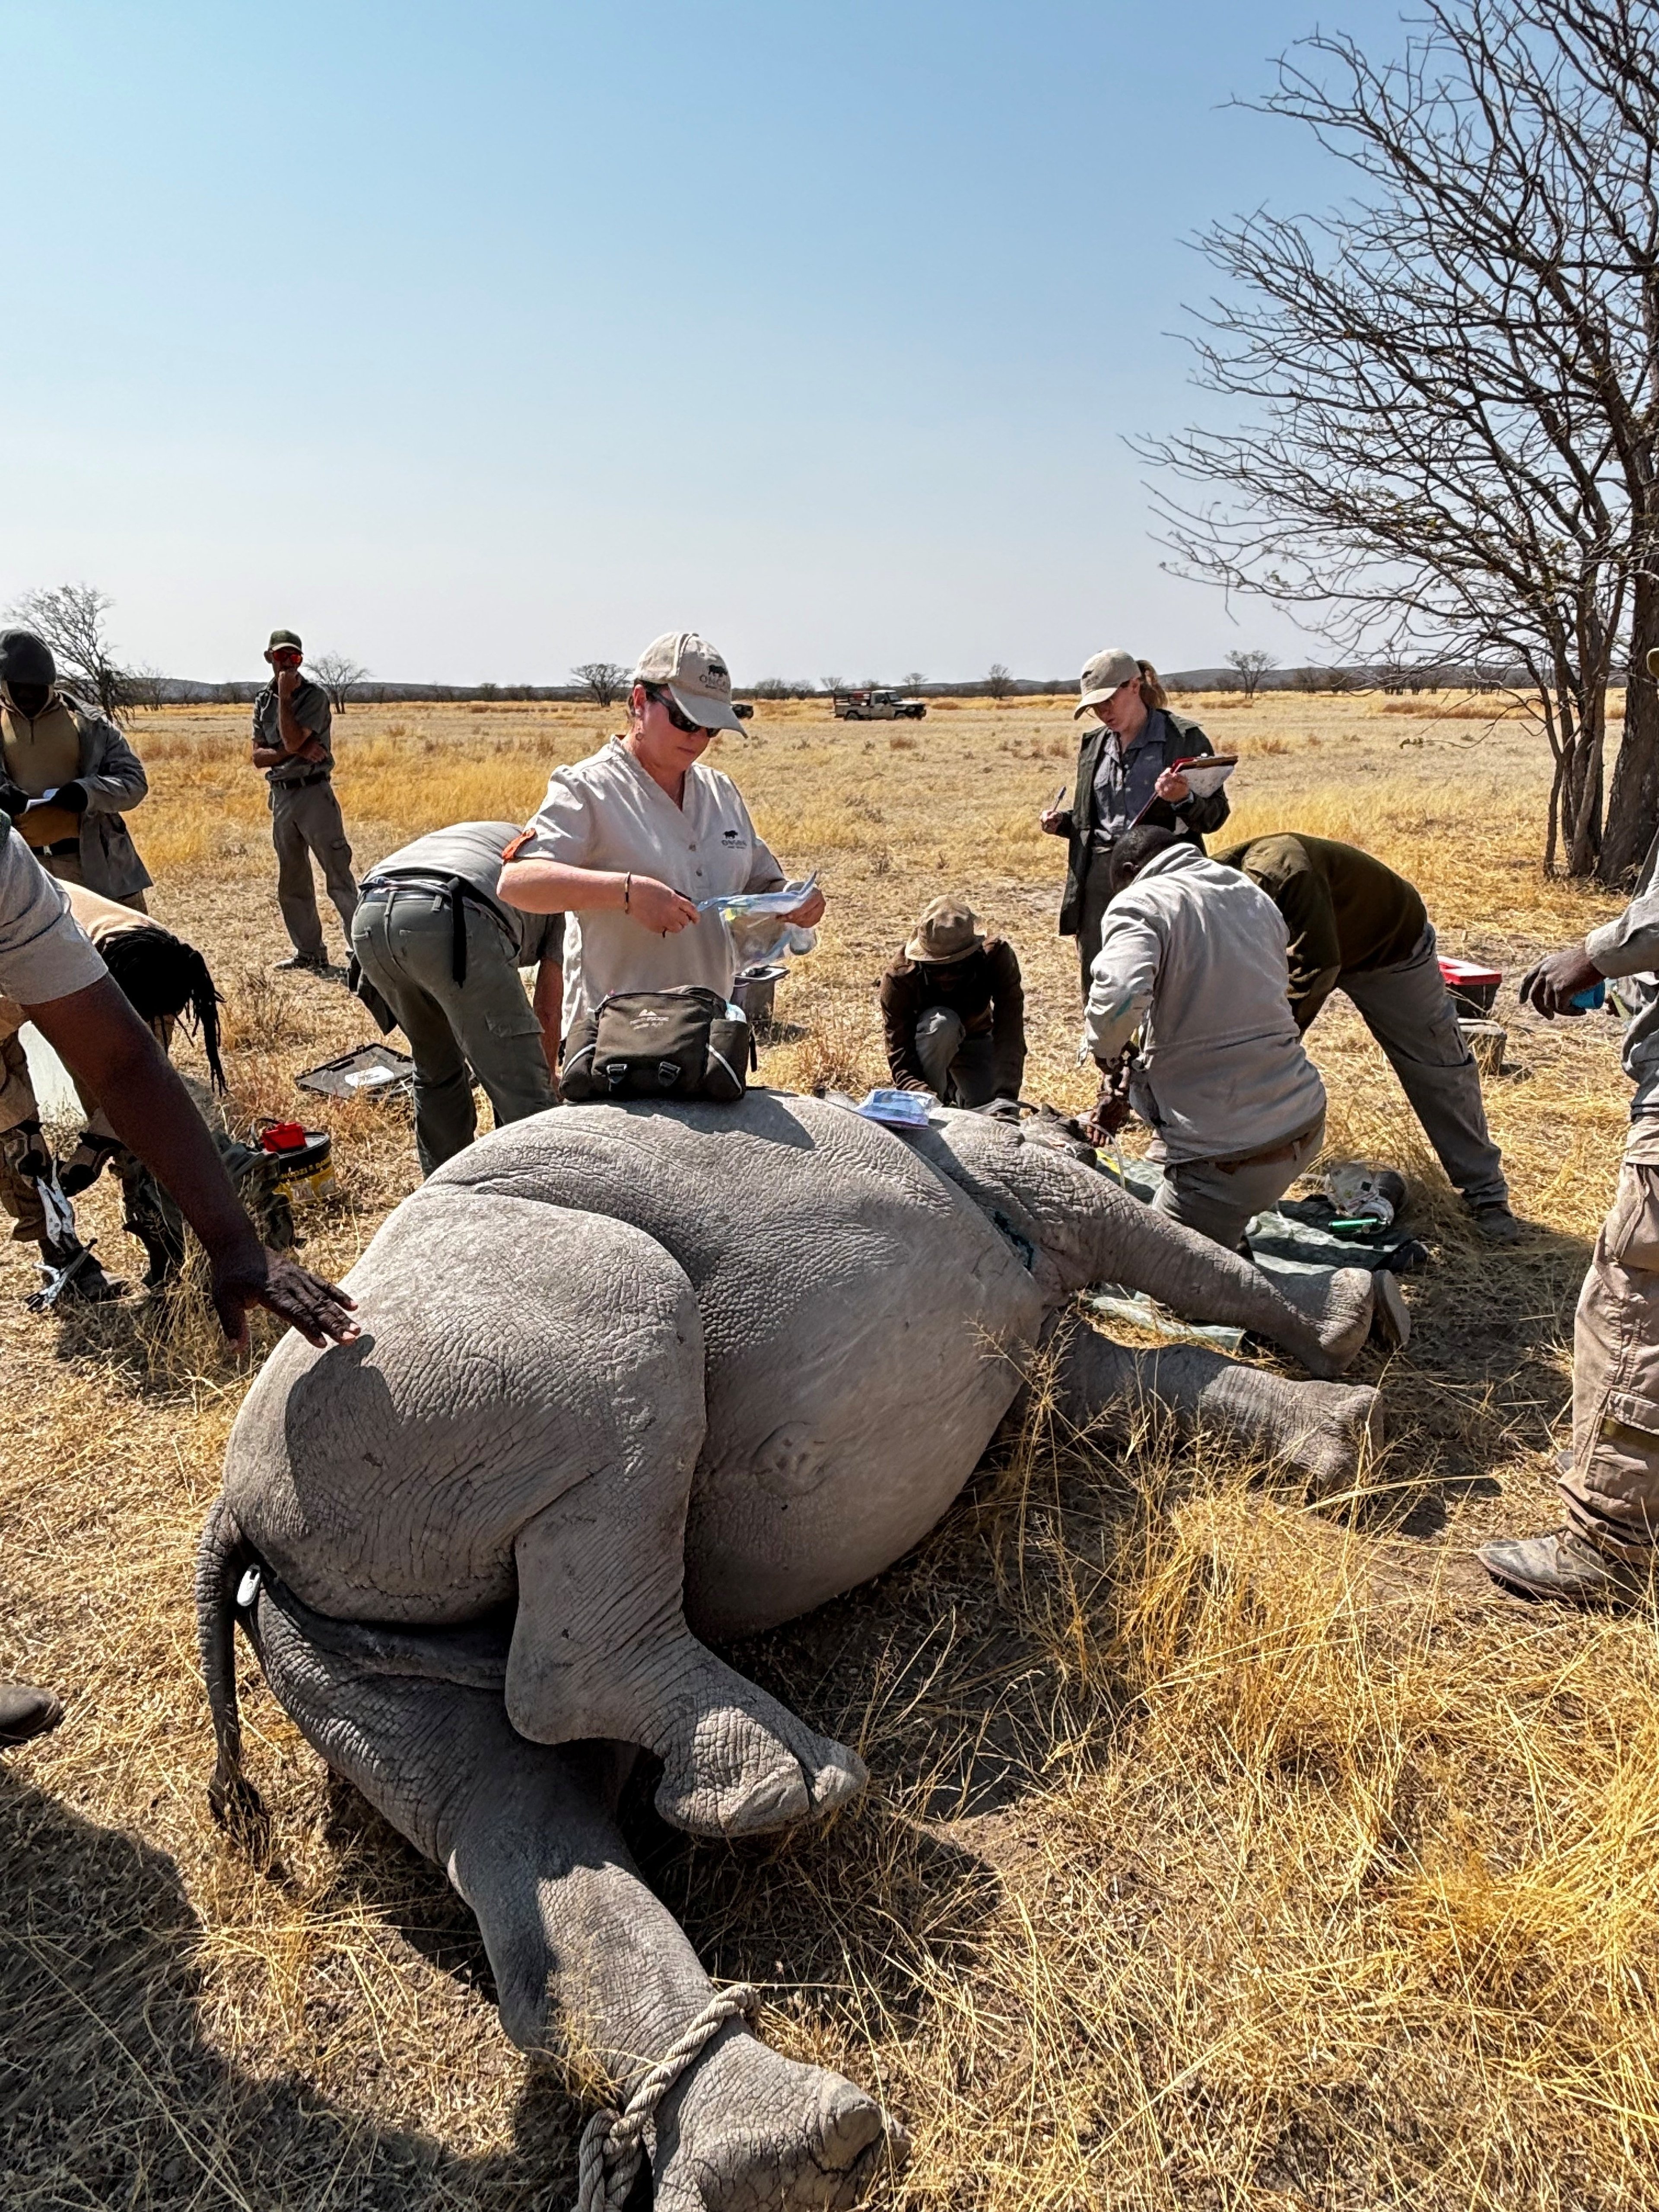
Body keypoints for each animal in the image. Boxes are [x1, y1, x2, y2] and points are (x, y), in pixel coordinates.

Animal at [199, 1093, 1402, 2209]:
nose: (1082, 1123)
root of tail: (232, 1506)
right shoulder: (1041, 1188)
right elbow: (1191, 1258)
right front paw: (1351, 1329)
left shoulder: (1041, 1341)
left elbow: (1142, 1377)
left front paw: (1340, 1430)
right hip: (442, 1337)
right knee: (626, 1329)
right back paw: (800, 1789)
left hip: (313, 1606)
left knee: (511, 1808)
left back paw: (795, 2142)